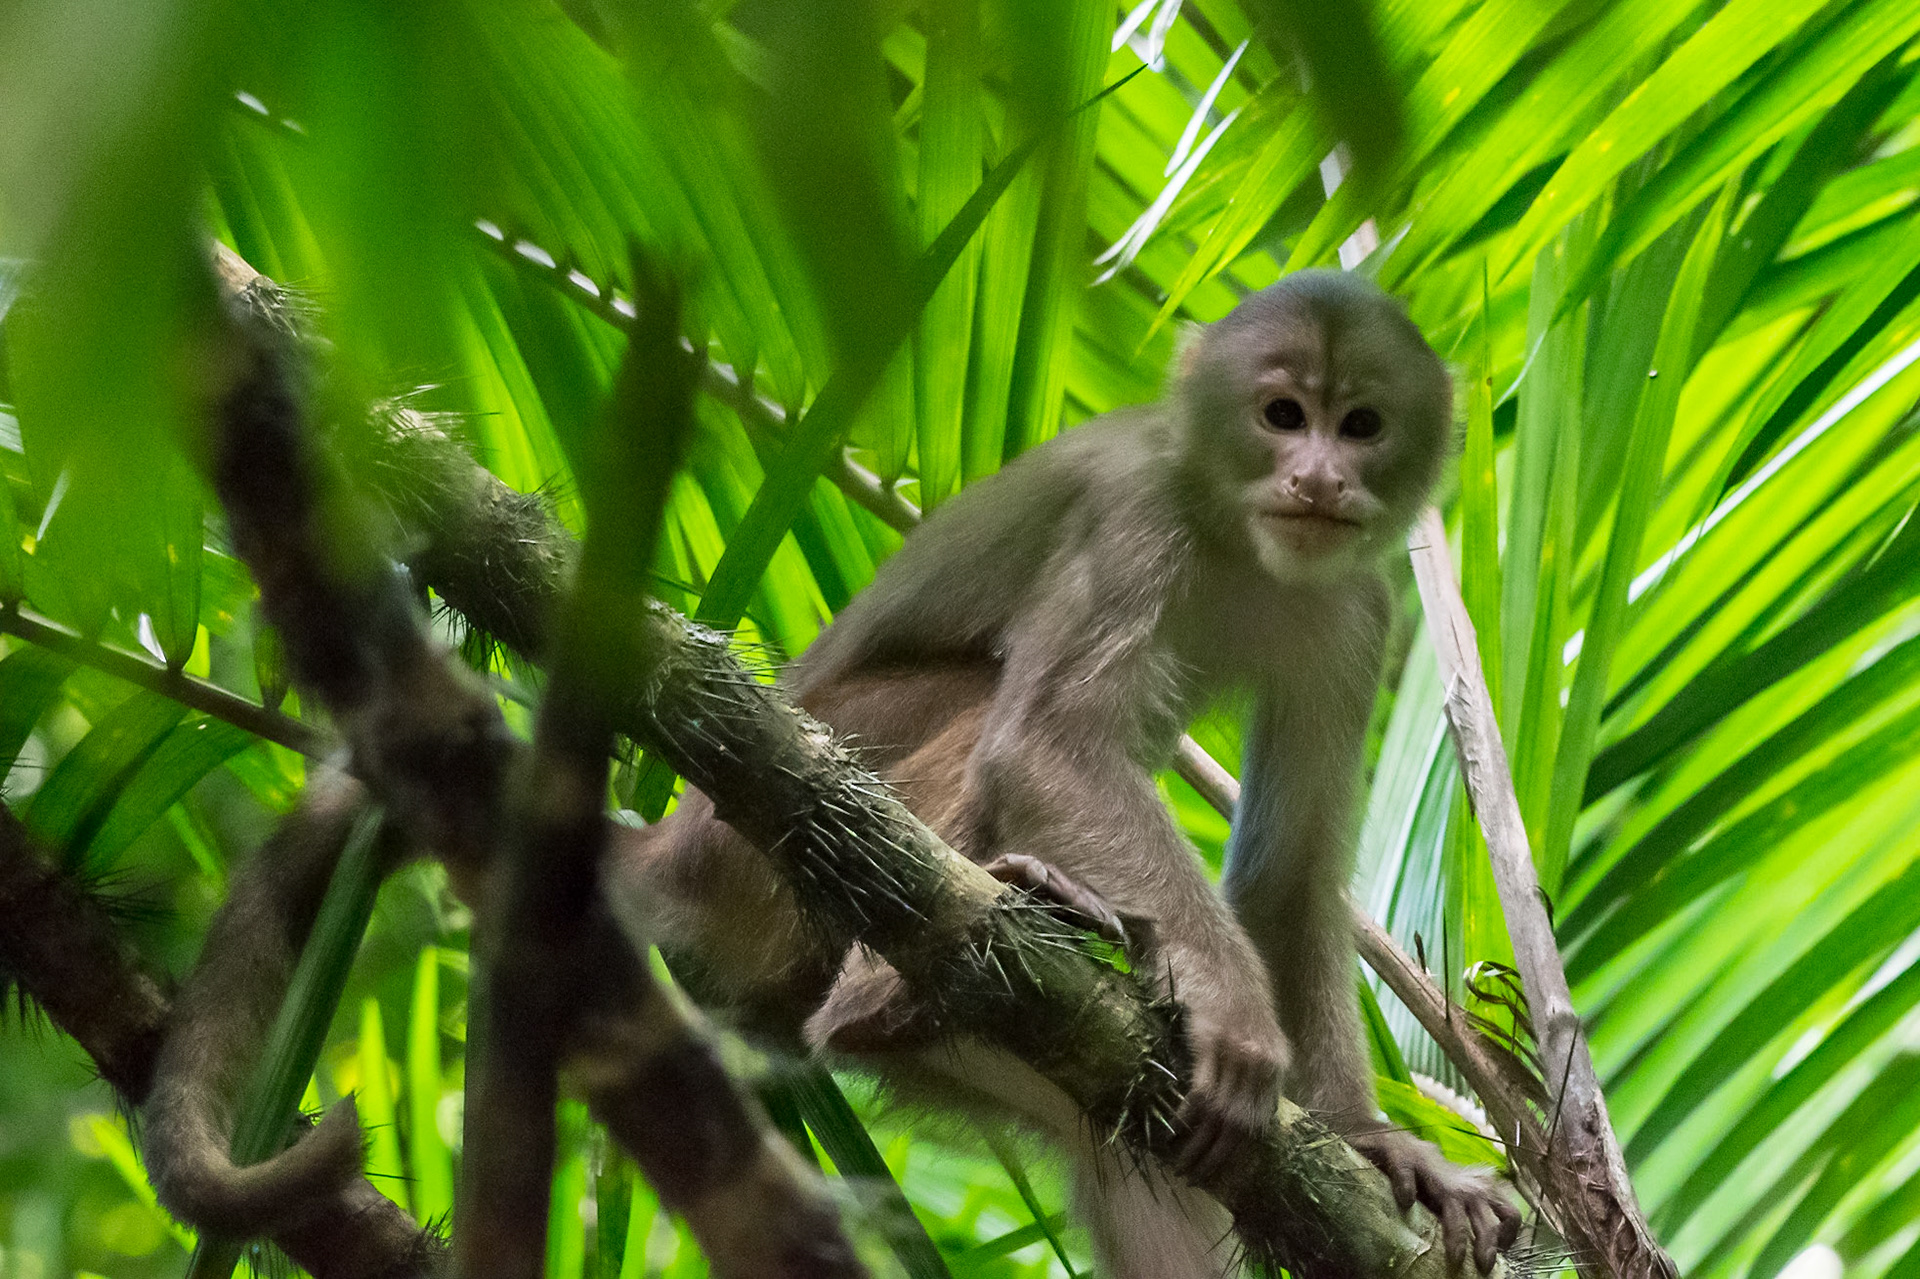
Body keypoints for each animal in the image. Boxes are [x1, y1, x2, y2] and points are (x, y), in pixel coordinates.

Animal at [610, 269, 1521, 1277]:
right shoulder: (1136, 517)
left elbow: (1290, 875)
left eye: (1361, 425)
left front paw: (1372, 1140)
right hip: (752, 833)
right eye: (1283, 415)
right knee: (988, 708)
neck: (1236, 537)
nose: (1320, 477)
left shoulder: (1357, 603)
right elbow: (1044, 743)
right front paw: (1234, 1001)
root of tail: (670, 840)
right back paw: (877, 992)